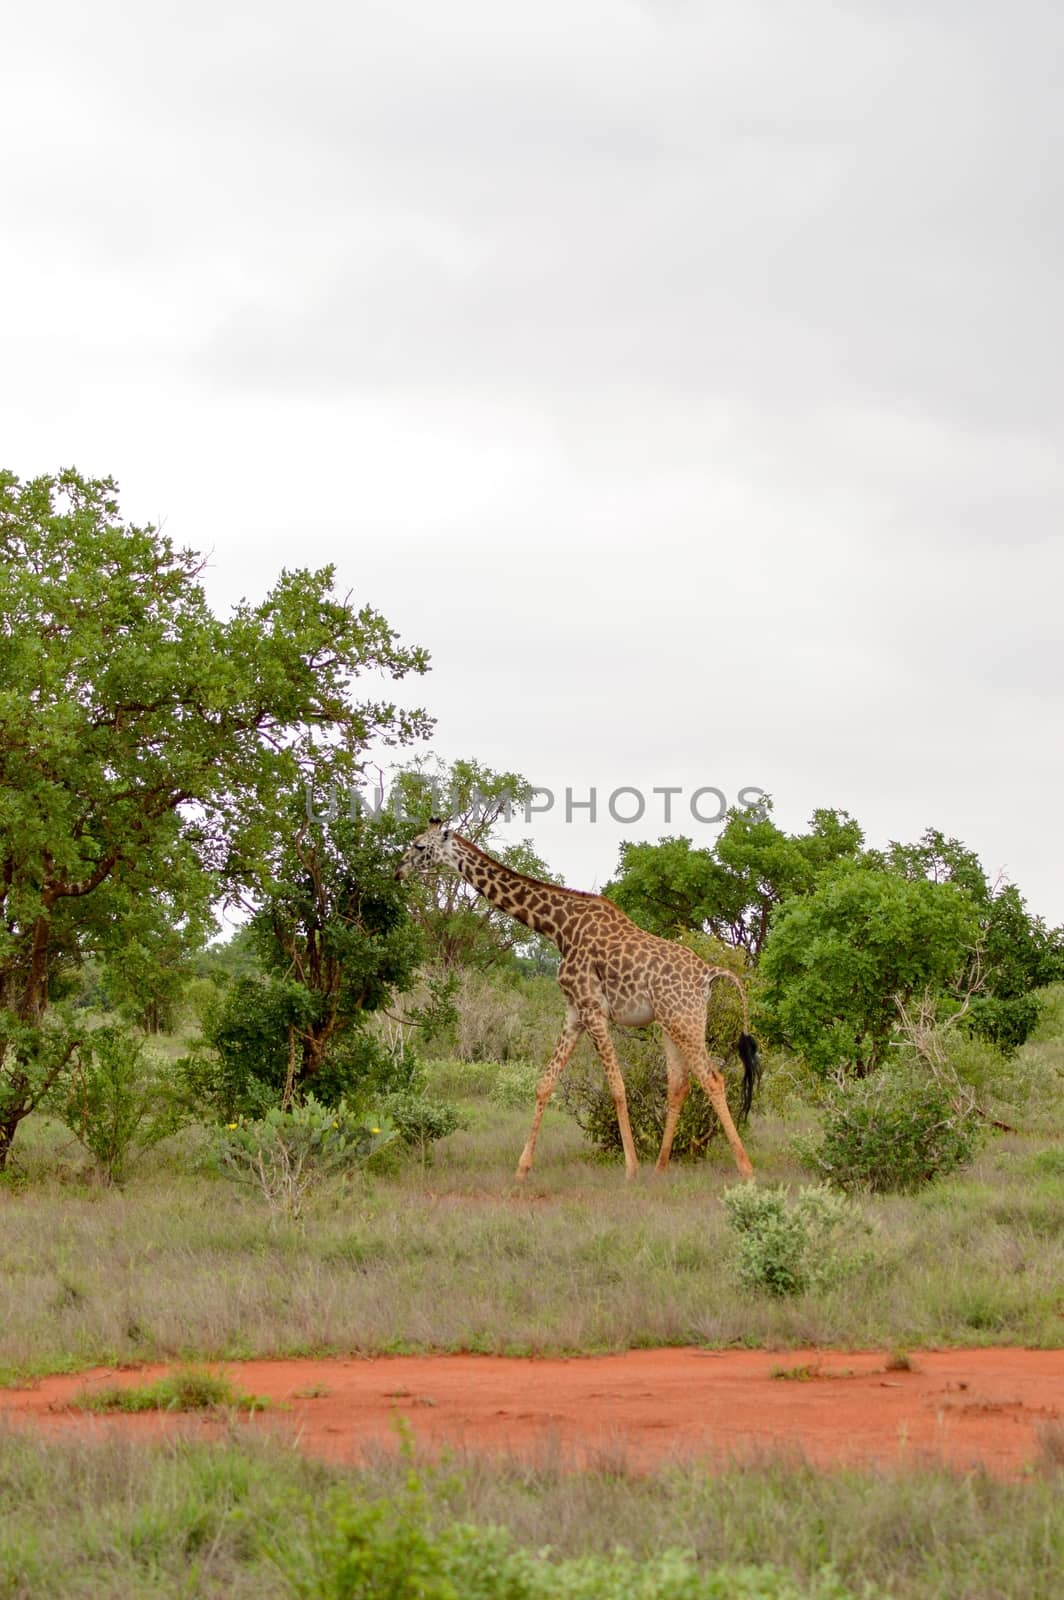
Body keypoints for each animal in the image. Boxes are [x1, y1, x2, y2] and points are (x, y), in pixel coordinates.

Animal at [393, 825, 758, 1177]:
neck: (559, 928)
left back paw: (744, 1168)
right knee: (679, 1084)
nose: (398, 871)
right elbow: (545, 1083)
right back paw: (661, 1167)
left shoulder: (593, 1008)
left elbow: (617, 1086)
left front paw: (630, 1169)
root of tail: (709, 973)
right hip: (670, 1023)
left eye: (419, 846)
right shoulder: (574, 1011)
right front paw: (522, 1168)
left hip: (685, 1019)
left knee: (712, 1079)